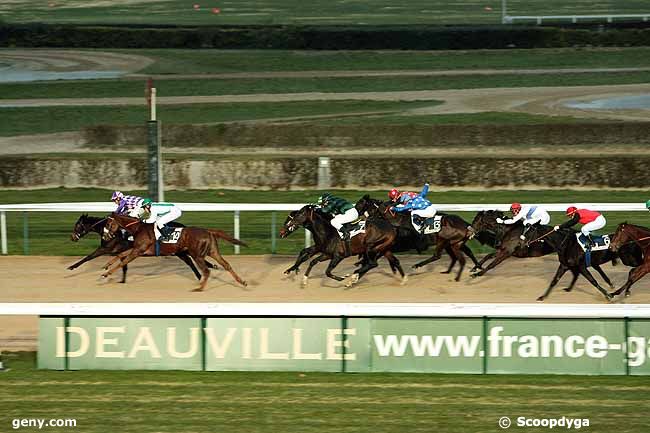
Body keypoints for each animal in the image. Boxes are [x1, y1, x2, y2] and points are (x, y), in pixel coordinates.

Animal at [68, 213, 211, 282]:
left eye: (77, 225)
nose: (73, 237)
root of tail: (184, 227)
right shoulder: (125, 250)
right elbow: (123, 263)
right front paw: (121, 280)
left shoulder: (107, 248)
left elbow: (88, 257)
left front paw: (72, 267)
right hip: (179, 251)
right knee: (191, 261)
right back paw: (203, 273)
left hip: (179, 251)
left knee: (191, 261)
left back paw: (202, 274)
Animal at [102, 213, 247, 290]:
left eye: (108, 224)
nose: (105, 237)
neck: (139, 228)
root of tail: (208, 230)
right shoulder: (139, 249)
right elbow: (121, 254)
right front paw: (106, 265)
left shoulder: (138, 251)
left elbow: (123, 261)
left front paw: (106, 274)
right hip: (212, 251)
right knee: (226, 265)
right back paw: (242, 282)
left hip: (197, 255)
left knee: (206, 270)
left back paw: (199, 288)